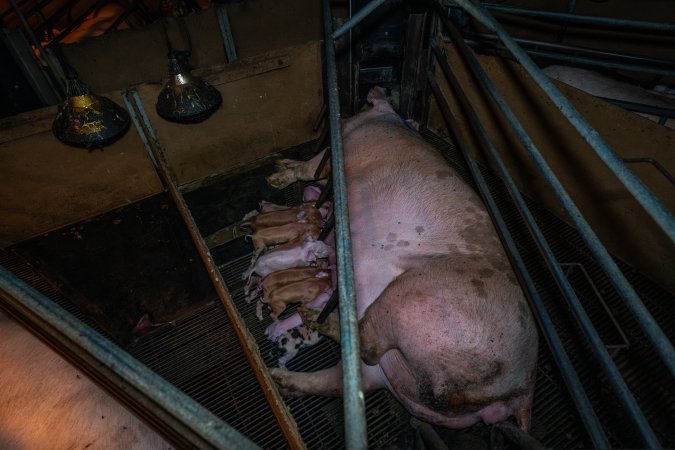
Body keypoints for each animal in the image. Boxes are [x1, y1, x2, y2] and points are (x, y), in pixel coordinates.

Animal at [264, 87, 540, 428]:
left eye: (362, 106)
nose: (345, 112)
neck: (385, 117)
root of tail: (524, 387)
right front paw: (279, 166)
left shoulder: (347, 142)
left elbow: (309, 166)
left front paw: (276, 178)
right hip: (388, 371)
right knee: (345, 381)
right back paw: (281, 378)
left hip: (412, 298)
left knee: (367, 345)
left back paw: (315, 320)